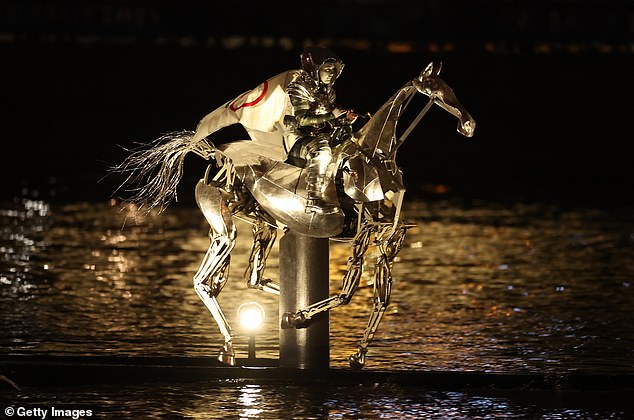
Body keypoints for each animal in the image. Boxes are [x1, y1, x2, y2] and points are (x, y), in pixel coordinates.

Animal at [116, 61, 474, 368]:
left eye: (452, 86)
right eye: (437, 89)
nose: (469, 124)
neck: (374, 156)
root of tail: (214, 153)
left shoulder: (387, 240)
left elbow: (379, 300)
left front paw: (356, 355)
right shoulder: (363, 235)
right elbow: (347, 293)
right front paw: (299, 317)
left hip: (264, 226)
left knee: (251, 278)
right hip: (225, 230)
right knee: (203, 283)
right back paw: (231, 345)